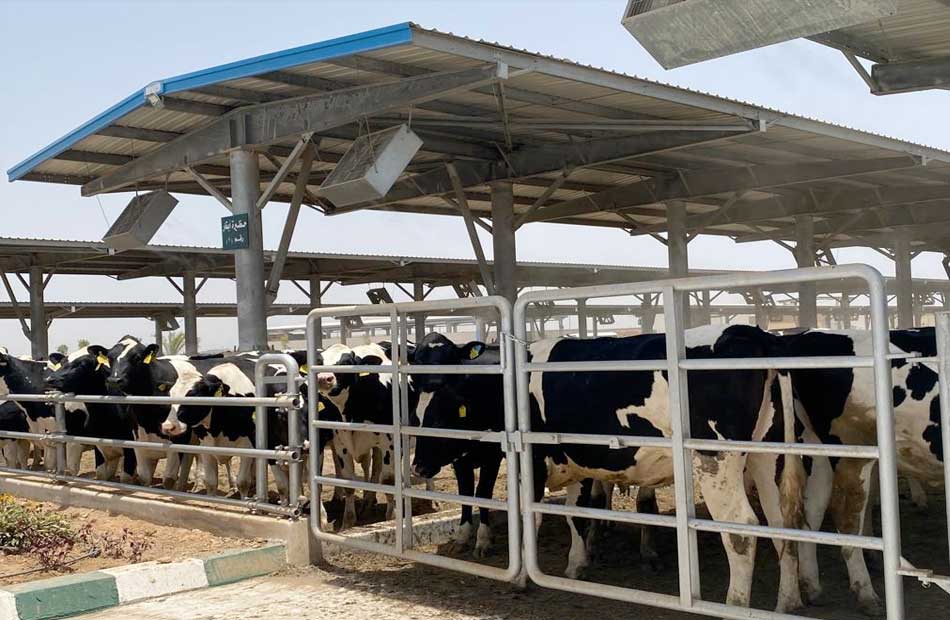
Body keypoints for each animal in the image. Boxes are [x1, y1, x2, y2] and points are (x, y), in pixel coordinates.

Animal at [45, 346, 138, 482]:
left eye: (83, 364)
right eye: (62, 362)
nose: (50, 379)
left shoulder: (132, 448)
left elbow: (125, 477)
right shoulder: (98, 446)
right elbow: (101, 473)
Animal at [410, 333, 505, 558]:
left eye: (438, 423)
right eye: (415, 420)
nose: (419, 468)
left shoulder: (492, 457)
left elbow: (483, 493)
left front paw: (482, 540)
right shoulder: (460, 460)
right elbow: (465, 492)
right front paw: (462, 538)